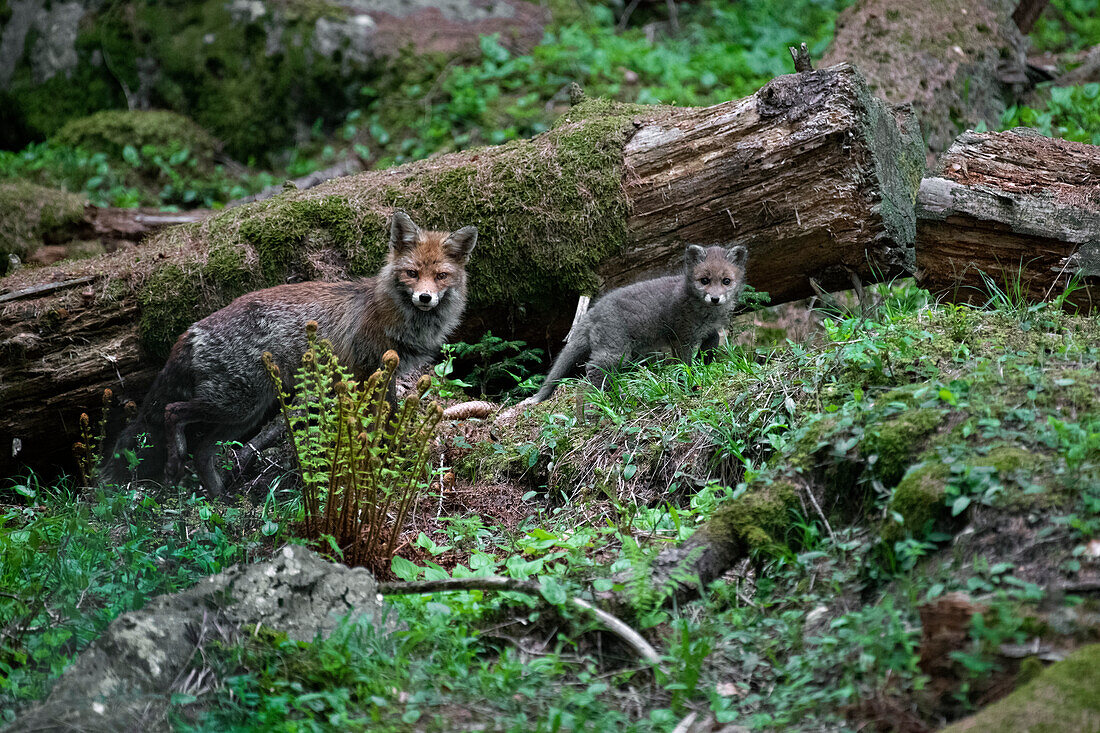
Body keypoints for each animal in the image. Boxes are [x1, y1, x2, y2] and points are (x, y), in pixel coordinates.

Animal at [103, 212, 477, 497]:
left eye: (441, 276)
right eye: (412, 273)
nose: (425, 298)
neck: (395, 316)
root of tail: (192, 329)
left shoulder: (386, 374)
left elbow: (392, 417)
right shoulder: (366, 372)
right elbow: (375, 423)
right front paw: (377, 455)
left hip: (243, 415)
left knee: (203, 451)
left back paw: (221, 499)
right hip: (236, 405)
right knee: (173, 412)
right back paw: (174, 464)